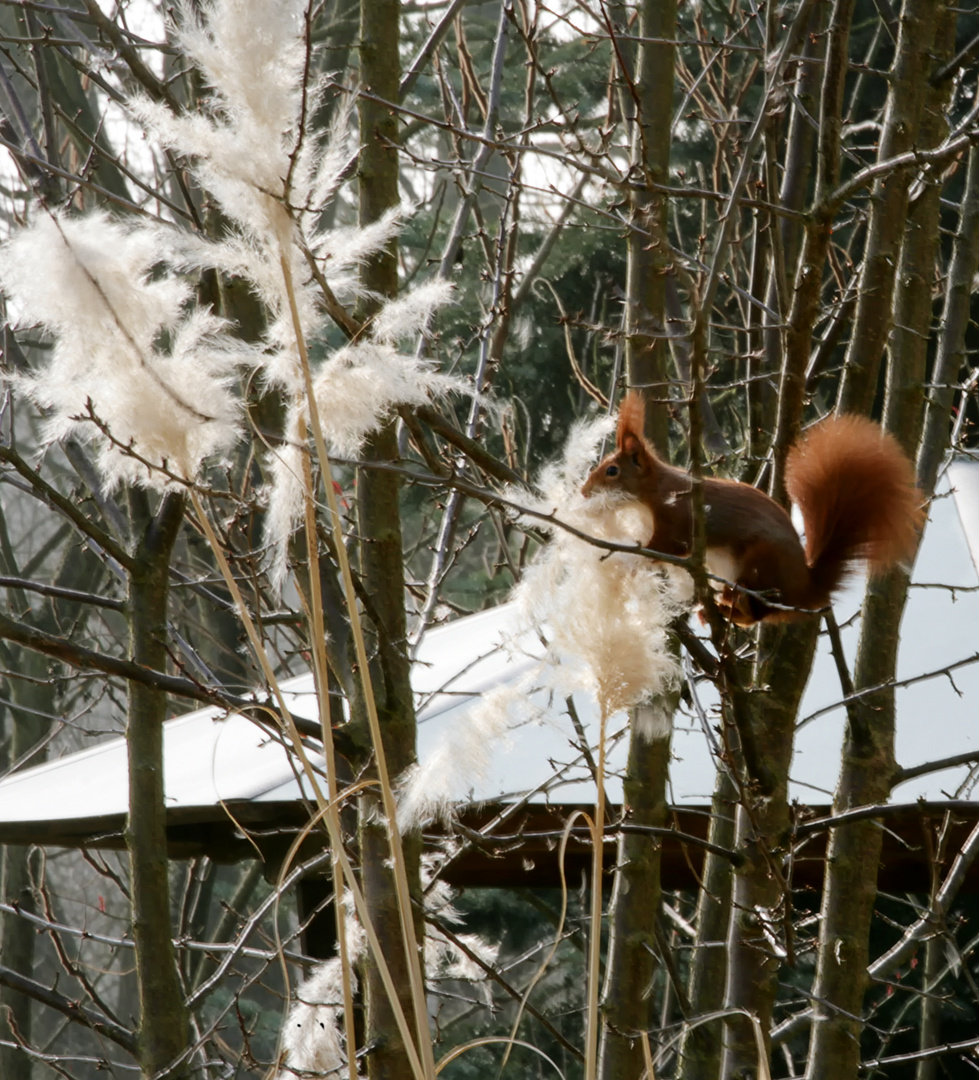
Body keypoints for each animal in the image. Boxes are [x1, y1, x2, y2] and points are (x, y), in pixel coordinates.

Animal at [583, 393, 920, 626]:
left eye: (612, 471)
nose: (584, 491)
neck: (651, 495)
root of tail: (805, 588)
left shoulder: (678, 518)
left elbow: (665, 547)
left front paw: (629, 561)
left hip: (760, 563)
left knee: (759, 611)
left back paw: (732, 605)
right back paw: (719, 608)